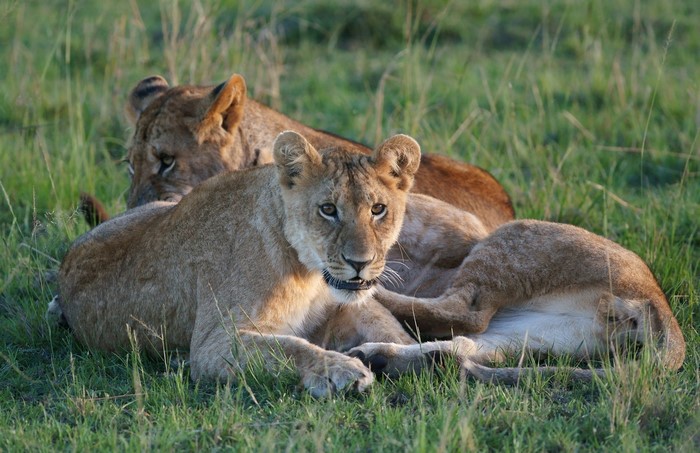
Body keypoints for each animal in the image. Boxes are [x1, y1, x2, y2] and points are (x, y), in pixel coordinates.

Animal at [56, 131, 422, 397]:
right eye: (328, 209)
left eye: (378, 209)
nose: (360, 262)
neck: (309, 275)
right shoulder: (213, 342)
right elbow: (289, 348)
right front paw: (343, 369)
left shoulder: (345, 305)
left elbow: (391, 330)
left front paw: (407, 355)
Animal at [344, 196, 686, 381]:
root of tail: (658, 302)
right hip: (541, 333)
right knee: (464, 345)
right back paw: (380, 357)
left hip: (512, 238)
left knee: (465, 313)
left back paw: (369, 295)